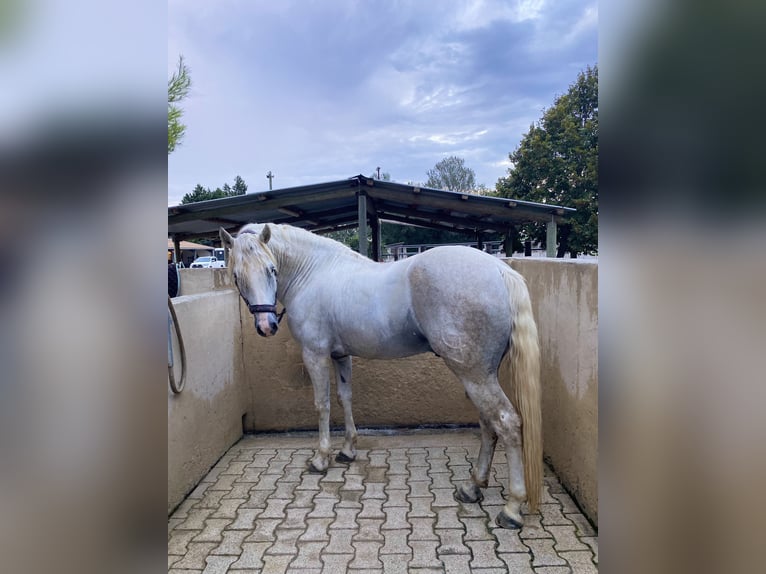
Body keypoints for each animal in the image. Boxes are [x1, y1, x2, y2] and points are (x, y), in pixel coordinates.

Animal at [220, 223, 542, 529]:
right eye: (237, 276)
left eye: (271, 269)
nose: (266, 325)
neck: (313, 273)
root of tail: (499, 269)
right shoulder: (340, 356)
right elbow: (345, 397)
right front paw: (347, 450)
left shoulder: (315, 354)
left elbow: (323, 405)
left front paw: (321, 458)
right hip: (482, 374)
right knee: (488, 424)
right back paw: (473, 487)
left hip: (474, 375)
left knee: (506, 423)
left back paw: (512, 508)